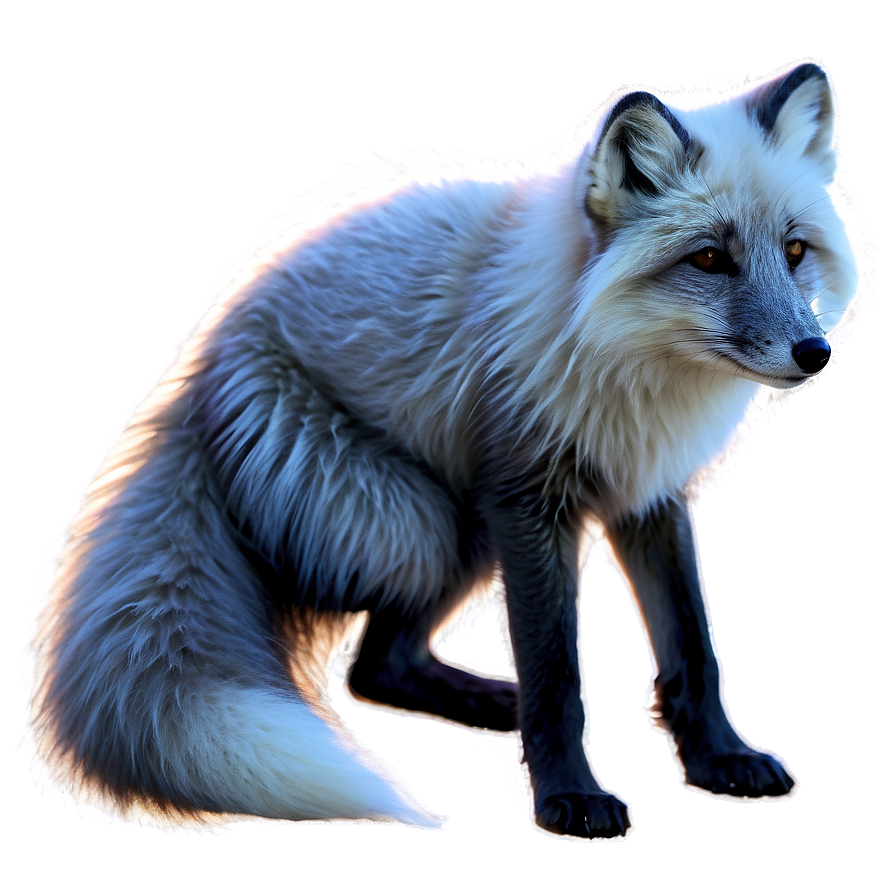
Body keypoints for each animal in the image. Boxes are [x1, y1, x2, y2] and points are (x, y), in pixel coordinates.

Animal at [24, 61, 858, 840]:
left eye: (794, 250)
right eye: (709, 259)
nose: (813, 353)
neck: (616, 363)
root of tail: (192, 379)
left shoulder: (649, 496)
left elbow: (694, 647)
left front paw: (720, 758)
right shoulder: (527, 501)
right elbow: (556, 675)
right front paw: (568, 799)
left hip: (454, 532)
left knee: (384, 663)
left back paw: (489, 701)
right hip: (433, 524)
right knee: (373, 669)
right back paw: (497, 705)